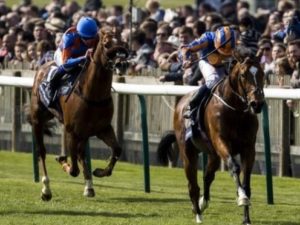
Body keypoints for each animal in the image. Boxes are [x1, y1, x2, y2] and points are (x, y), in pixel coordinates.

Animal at [26, 27, 128, 201]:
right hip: (38, 120)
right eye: (106, 44)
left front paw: (100, 172)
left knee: (81, 154)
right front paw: (62, 160)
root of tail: (43, 66)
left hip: (82, 131)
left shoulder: (103, 129)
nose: (122, 63)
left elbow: (117, 149)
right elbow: (73, 170)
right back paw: (46, 189)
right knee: (42, 152)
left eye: (123, 42)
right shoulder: (71, 131)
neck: (93, 95)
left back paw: (89, 187)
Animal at [157, 46, 264, 224]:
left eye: (262, 73)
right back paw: (198, 213)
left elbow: (246, 181)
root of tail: (180, 103)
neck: (236, 110)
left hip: (213, 154)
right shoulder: (221, 141)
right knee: (193, 184)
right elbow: (234, 167)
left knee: (208, 176)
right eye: (243, 75)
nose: (257, 104)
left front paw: (246, 218)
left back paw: (203, 203)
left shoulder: (249, 148)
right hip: (188, 152)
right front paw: (241, 198)